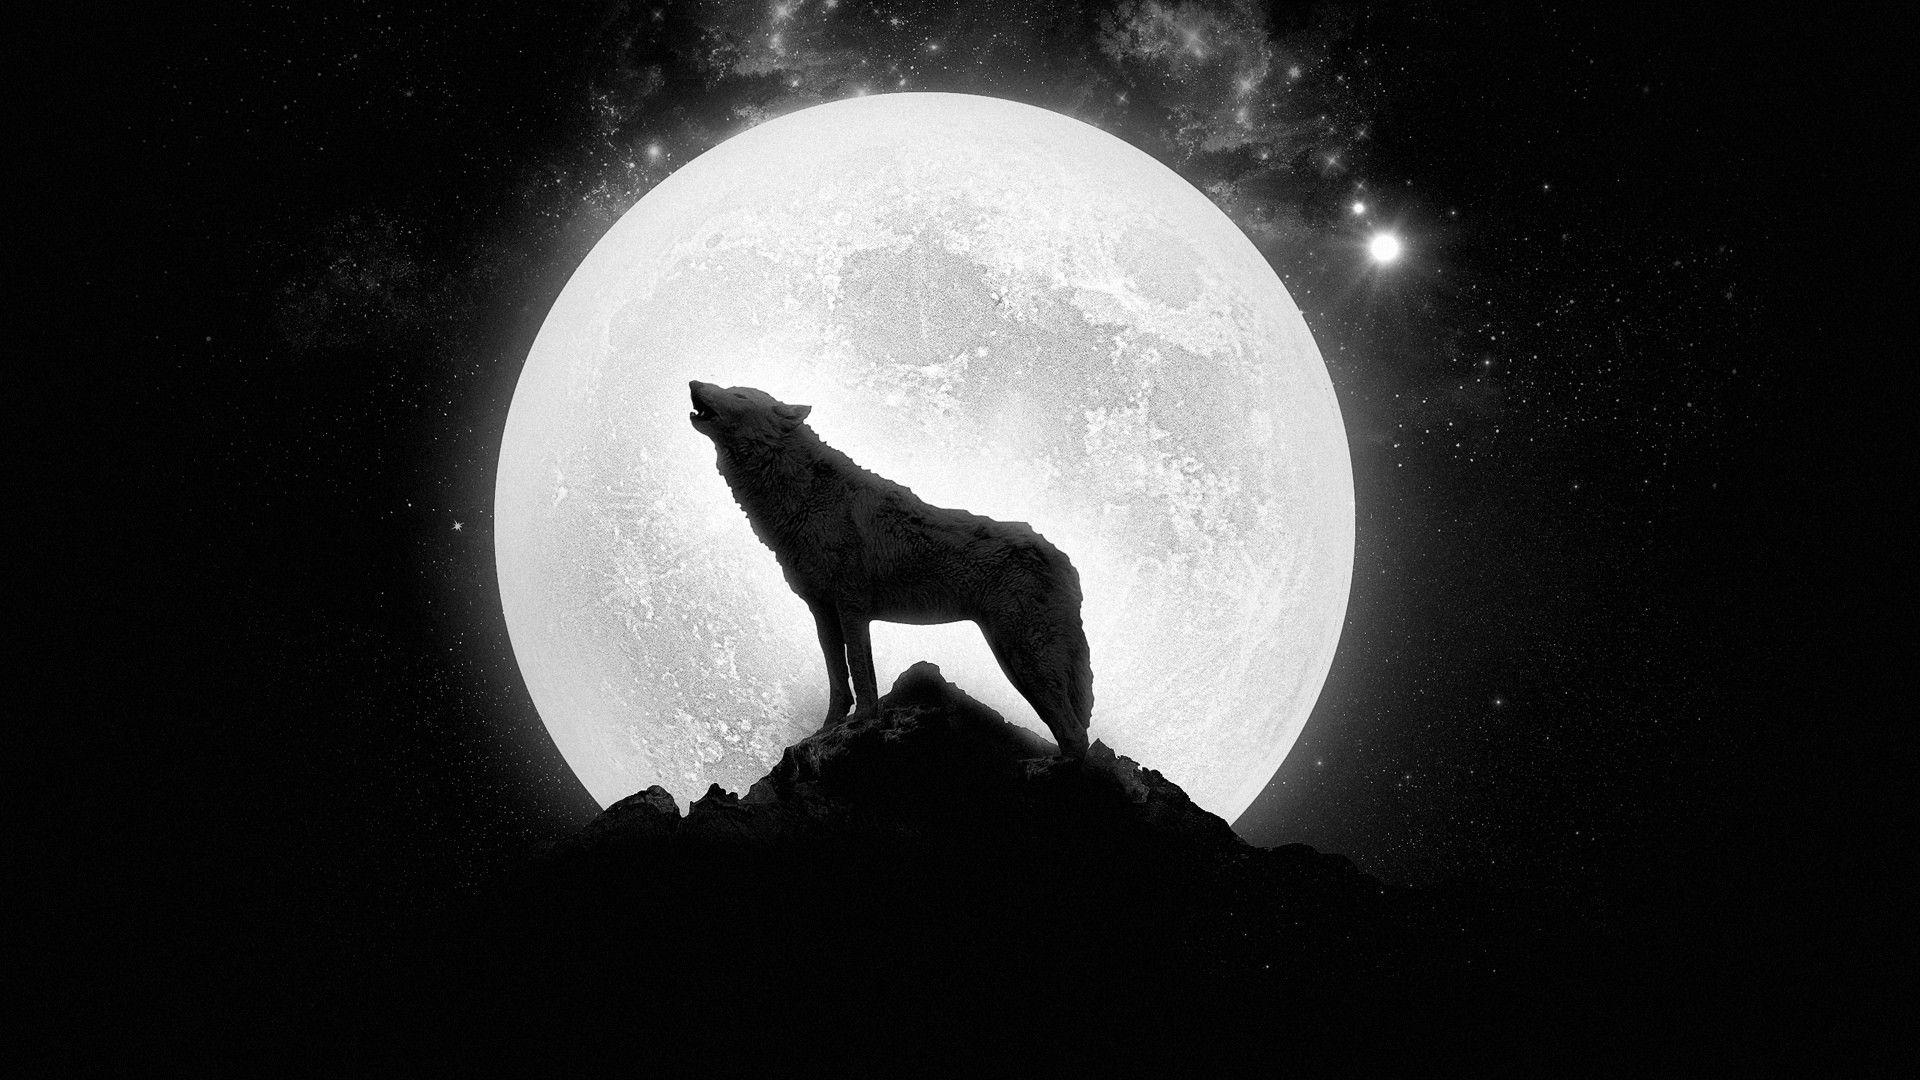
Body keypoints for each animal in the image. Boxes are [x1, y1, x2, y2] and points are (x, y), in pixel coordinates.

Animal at [689, 381, 1093, 757]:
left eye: (738, 395)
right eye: (729, 388)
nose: (693, 384)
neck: (805, 497)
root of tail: (1068, 562)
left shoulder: (852, 607)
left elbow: (860, 671)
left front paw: (860, 723)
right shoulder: (822, 611)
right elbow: (838, 677)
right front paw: (826, 729)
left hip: (1024, 658)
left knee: (1076, 735)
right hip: (1016, 659)